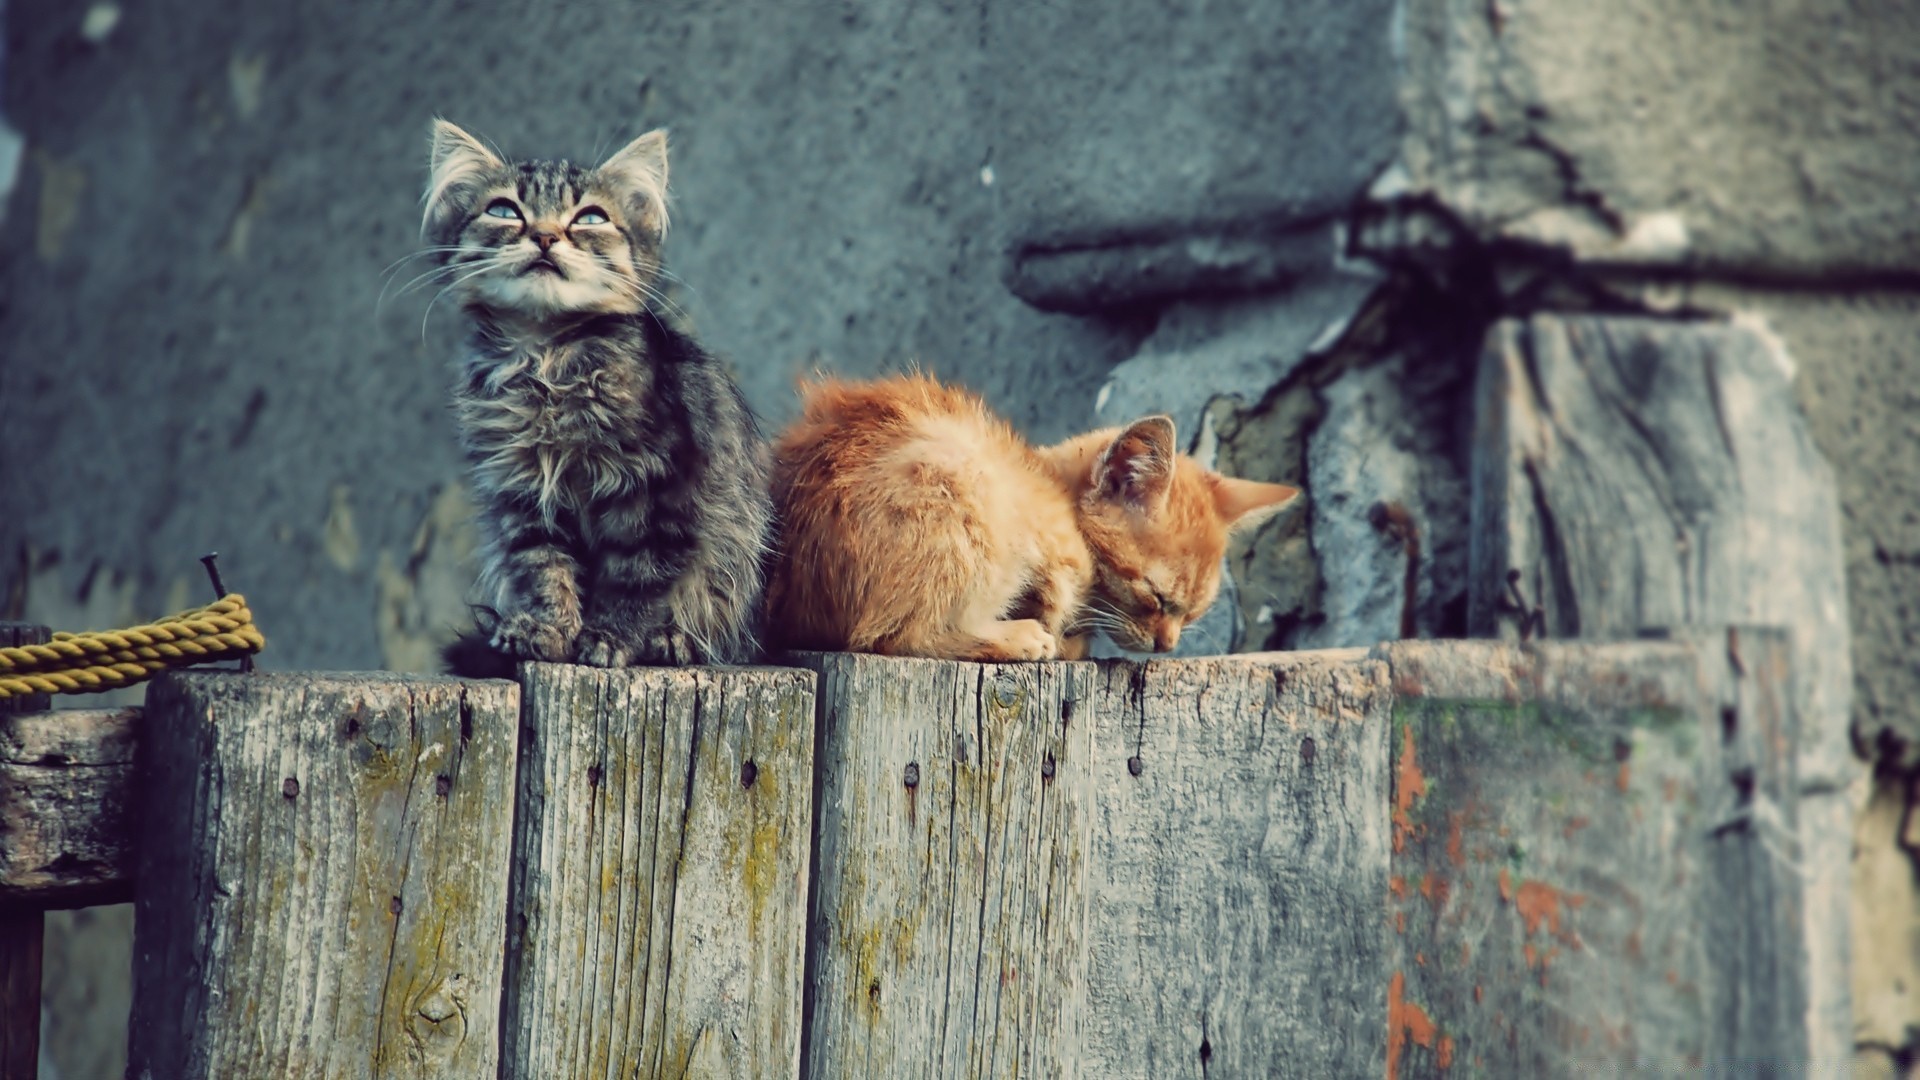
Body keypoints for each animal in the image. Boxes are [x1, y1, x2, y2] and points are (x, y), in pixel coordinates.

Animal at [426, 119, 771, 664]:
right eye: (504, 210)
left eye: (590, 218)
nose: (545, 235)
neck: (546, 357)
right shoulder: (523, 496)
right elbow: (547, 570)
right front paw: (549, 632)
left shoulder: (661, 491)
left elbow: (635, 579)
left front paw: (609, 639)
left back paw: (670, 640)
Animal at [760, 368, 1290, 661]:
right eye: (1155, 598)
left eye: (1193, 612)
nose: (1168, 645)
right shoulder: (1054, 550)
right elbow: (1059, 607)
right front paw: (1064, 635)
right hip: (967, 494)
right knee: (890, 635)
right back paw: (1018, 638)